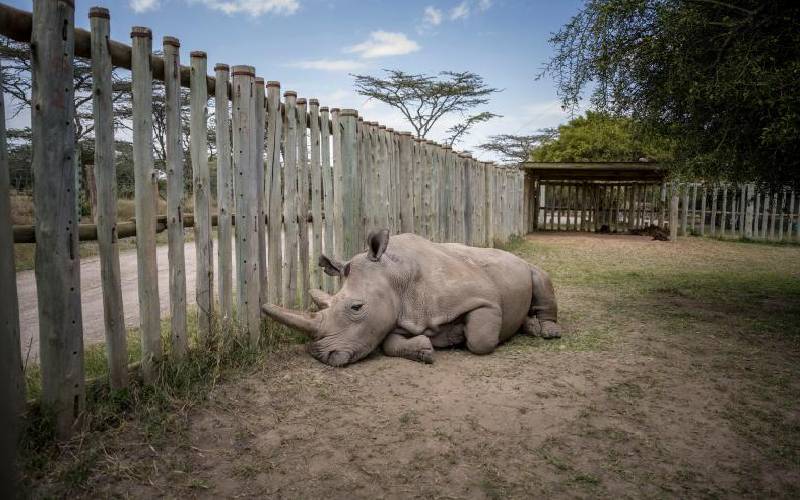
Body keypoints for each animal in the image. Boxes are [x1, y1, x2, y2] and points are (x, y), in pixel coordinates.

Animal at [262, 230, 560, 367]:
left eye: (356, 307)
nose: (321, 356)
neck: (395, 275)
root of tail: (511, 254)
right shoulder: (400, 314)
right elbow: (388, 343)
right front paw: (425, 349)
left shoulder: (484, 298)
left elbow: (481, 340)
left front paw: (460, 337)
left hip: (522, 265)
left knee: (540, 276)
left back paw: (547, 332)